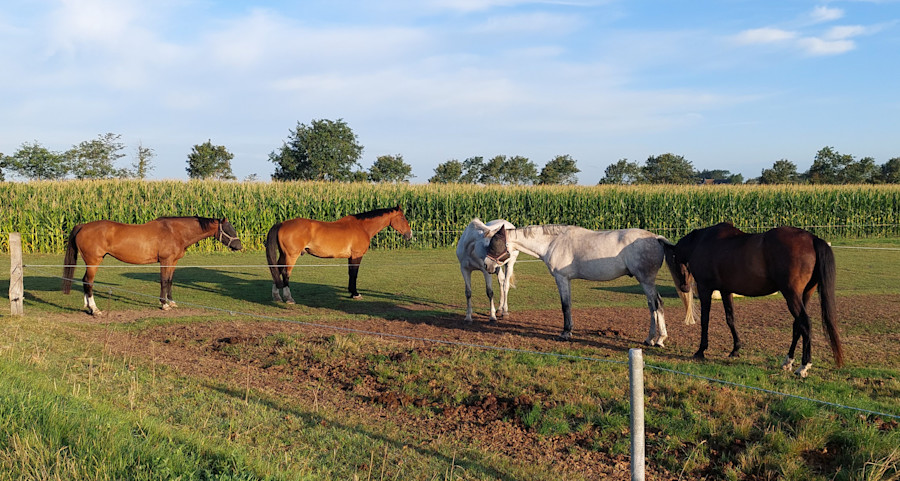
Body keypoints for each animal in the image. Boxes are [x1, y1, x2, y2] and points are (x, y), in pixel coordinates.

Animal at [60, 217, 244, 316]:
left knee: (85, 281)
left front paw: (172, 302)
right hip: (94, 261)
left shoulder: (173, 262)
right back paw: (95, 309)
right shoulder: (165, 260)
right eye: (229, 229)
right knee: (88, 281)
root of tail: (83, 226)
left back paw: (88, 307)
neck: (175, 231)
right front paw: (164, 304)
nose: (239, 246)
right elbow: (163, 281)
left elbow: (170, 281)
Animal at [264, 205, 412, 302]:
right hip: (291, 256)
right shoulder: (357, 255)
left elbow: (350, 273)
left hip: (283, 255)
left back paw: (276, 296)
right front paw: (355, 294)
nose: (409, 234)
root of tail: (282, 223)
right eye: (402, 218)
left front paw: (352, 292)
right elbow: (354, 273)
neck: (362, 227)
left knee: (276, 270)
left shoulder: (351, 257)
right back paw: (288, 298)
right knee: (285, 273)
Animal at [486, 223, 688, 344]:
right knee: (652, 306)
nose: (488, 266)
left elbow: (565, 306)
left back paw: (659, 339)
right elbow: (568, 305)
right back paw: (650, 339)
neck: (553, 242)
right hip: (645, 282)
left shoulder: (562, 278)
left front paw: (566, 332)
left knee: (657, 304)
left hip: (646, 281)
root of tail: (656, 238)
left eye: (495, 243)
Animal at [660, 220, 844, 376]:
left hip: (792, 295)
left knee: (805, 323)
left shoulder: (706, 289)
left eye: (673, 260)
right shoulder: (726, 291)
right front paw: (735, 349)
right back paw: (788, 361)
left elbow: (705, 320)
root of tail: (813, 239)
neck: (702, 243)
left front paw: (700, 350)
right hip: (804, 295)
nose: (684, 287)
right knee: (797, 325)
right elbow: (730, 318)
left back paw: (804, 365)